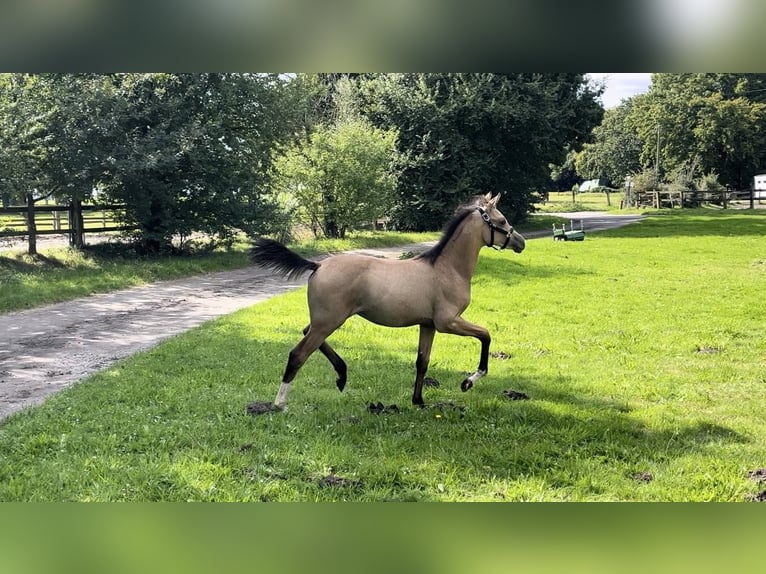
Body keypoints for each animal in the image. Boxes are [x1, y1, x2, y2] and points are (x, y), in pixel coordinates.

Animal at [249, 194, 524, 414]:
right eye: (501, 221)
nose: (521, 242)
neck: (447, 269)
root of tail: (317, 265)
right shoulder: (448, 322)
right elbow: (485, 335)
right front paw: (467, 382)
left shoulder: (428, 325)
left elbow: (422, 362)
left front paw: (418, 401)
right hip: (329, 321)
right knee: (298, 354)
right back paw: (280, 403)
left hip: (325, 321)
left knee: (307, 333)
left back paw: (342, 375)